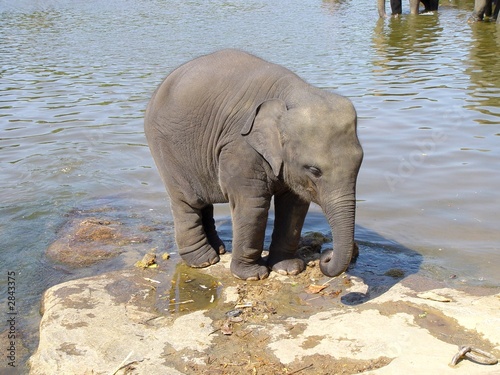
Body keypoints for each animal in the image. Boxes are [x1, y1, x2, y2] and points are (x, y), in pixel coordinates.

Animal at [146, 48, 364, 280]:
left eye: (360, 162)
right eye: (314, 170)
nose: (327, 256)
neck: (295, 93)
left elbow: (294, 206)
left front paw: (288, 269)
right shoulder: (240, 147)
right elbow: (252, 205)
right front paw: (253, 275)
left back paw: (219, 250)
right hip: (166, 149)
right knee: (187, 202)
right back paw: (203, 261)